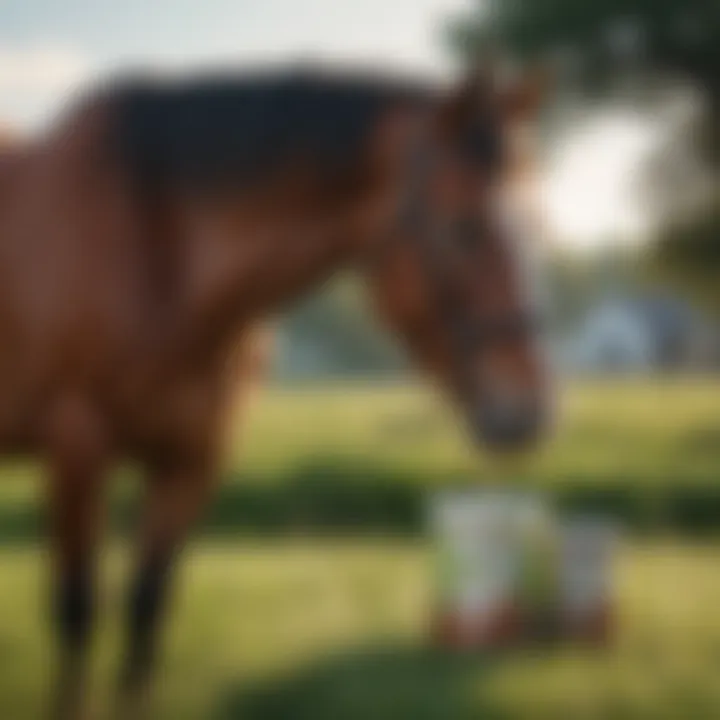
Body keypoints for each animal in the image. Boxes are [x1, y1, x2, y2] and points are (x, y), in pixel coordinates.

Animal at [1, 64, 552, 716]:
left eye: (536, 226)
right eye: (462, 227)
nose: (526, 411)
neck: (155, 246)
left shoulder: (193, 460)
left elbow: (147, 605)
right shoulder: (77, 449)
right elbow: (77, 610)